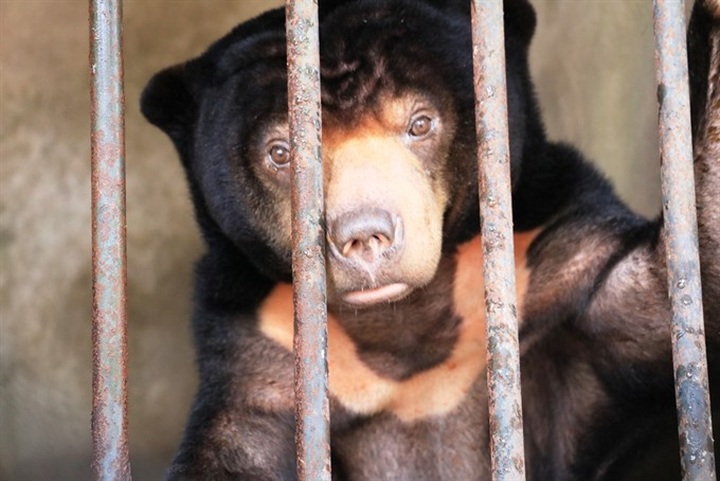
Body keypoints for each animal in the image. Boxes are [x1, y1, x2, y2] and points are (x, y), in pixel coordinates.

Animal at [140, 0, 720, 479]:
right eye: (281, 153)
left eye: (420, 124)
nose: (363, 236)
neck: (403, 325)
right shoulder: (261, 345)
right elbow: (233, 451)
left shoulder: (555, 260)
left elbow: (665, 305)